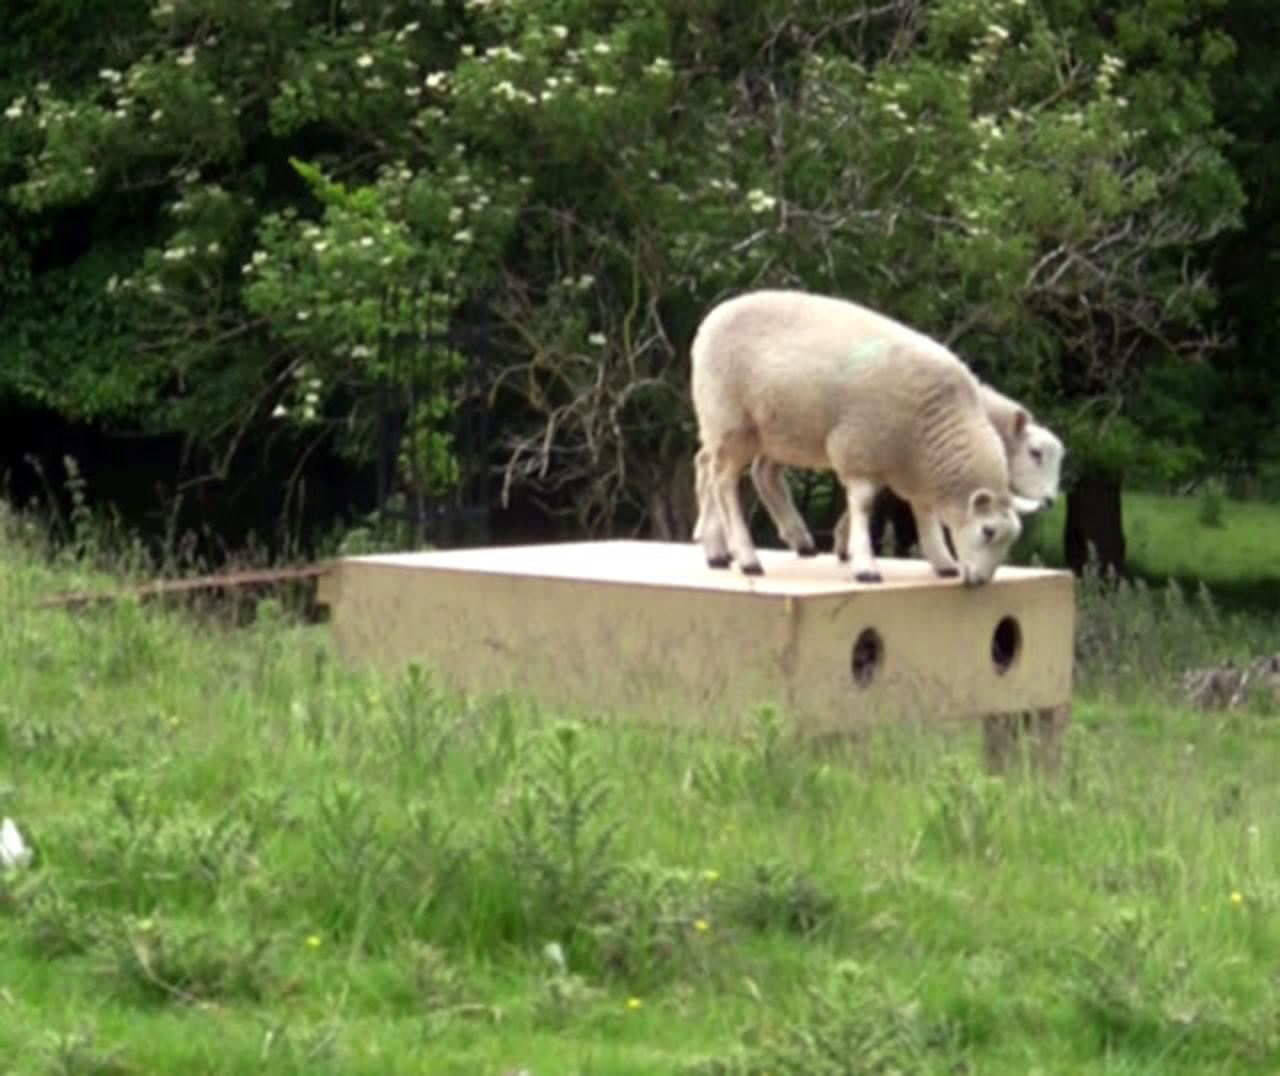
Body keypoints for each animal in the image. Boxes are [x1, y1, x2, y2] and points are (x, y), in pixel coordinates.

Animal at [691, 289, 1018, 583]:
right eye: (988, 531)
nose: (980, 581)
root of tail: (712, 318)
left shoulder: (911, 469)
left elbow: (924, 514)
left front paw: (942, 561)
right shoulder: (858, 450)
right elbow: (863, 506)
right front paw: (865, 566)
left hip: (762, 430)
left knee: (717, 469)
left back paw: (720, 550)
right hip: (730, 421)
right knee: (724, 484)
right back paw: (747, 557)